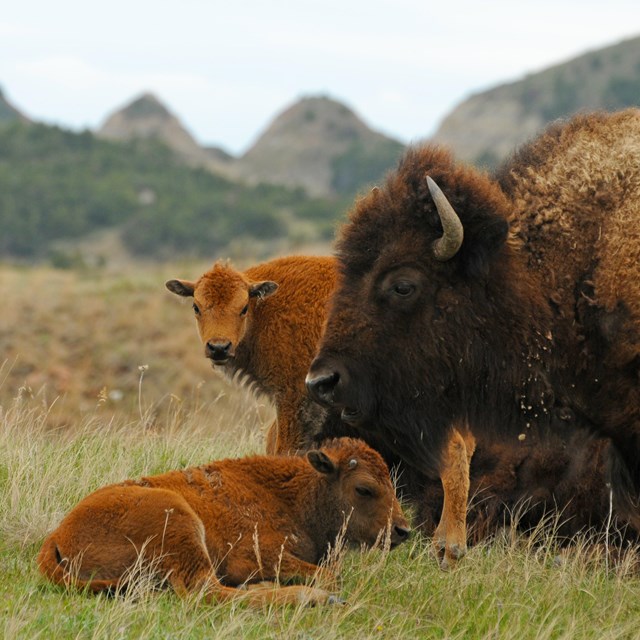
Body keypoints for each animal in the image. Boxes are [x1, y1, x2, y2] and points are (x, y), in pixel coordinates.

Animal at [37, 437, 410, 606]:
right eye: (364, 488)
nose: (402, 530)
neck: (292, 495)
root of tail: (56, 536)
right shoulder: (254, 555)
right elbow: (331, 575)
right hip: (180, 522)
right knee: (206, 591)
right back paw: (310, 597)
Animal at [165, 255, 473, 566]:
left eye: (242, 308)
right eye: (196, 306)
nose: (218, 347)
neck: (265, 309)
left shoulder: (294, 395)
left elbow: (286, 446)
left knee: (454, 451)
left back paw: (449, 548)